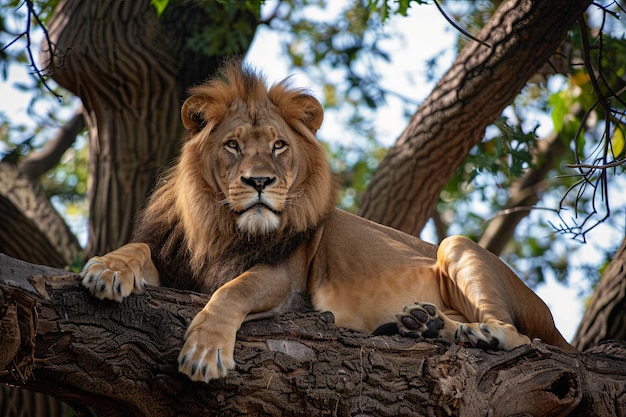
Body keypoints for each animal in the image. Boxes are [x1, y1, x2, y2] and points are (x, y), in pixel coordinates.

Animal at [79, 59, 576, 384]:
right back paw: (424, 325)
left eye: (278, 145)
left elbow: (232, 290)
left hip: (458, 245)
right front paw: (107, 268)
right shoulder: (175, 261)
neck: (221, 228)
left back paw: (476, 333)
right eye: (233, 145)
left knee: (520, 337)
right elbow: (139, 249)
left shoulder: (284, 278)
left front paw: (205, 351)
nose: (259, 181)